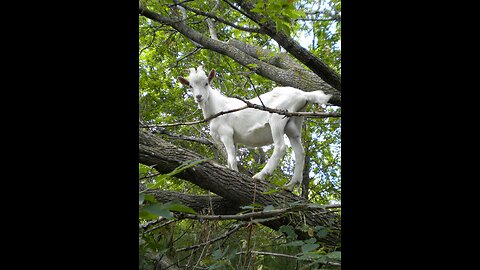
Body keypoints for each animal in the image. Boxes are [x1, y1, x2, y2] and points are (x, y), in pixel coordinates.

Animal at [178, 66, 332, 191]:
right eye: (190, 86)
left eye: (206, 83)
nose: (199, 97)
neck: (218, 107)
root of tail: (303, 95)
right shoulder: (234, 139)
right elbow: (231, 158)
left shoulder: (226, 133)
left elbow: (231, 158)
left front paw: (235, 174)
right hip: (293, 123)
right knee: (300, 152)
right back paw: (290, 185)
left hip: (277, 117)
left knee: (281, 147)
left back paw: (260, 176)